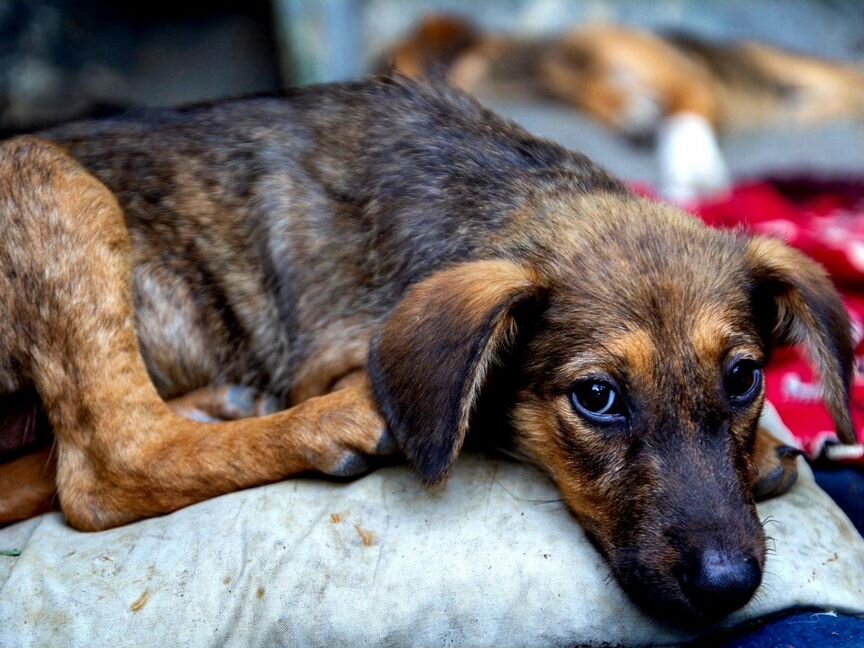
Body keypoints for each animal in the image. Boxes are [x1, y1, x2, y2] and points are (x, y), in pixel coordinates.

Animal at [0, 74, 856, 624]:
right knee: (107, 464)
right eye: (596, 398)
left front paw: (765, 446)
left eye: (744, 378)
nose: (728, 585)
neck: (513, 199)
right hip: (41, 172)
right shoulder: (338, 351)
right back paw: (323, 425)